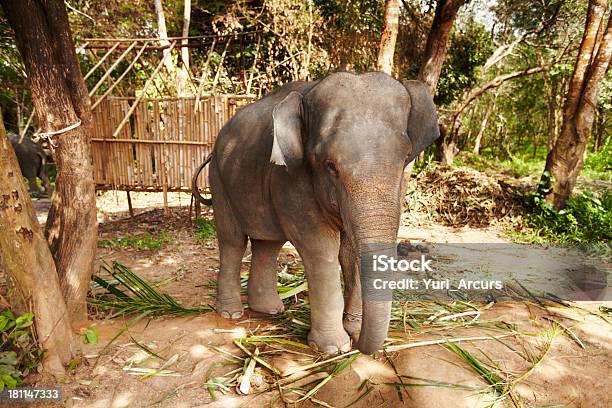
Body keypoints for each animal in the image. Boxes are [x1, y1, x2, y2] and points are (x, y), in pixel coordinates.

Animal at [194, 71, 438, 354]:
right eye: (330, 165)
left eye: (406, 157)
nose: (359, 344)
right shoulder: (289, 176)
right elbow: (320, 248)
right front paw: (335, 348)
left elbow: (351, 251)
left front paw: (354, 329)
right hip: (219, 180)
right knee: (233, 241)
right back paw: (231, 313)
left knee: (268, 243)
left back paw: (269, 310)